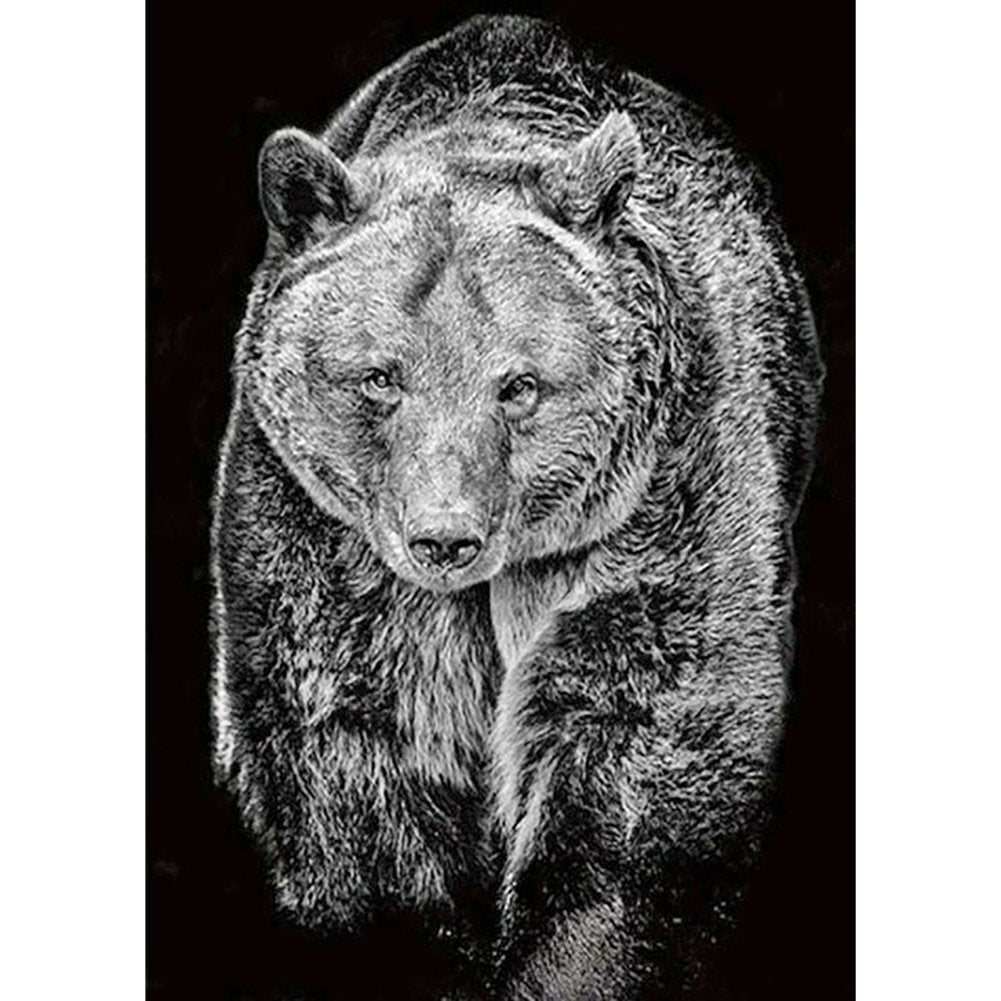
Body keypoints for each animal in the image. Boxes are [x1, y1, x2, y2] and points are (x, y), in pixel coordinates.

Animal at [211, 14, 822, 999]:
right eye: (380, 377)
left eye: (519, 385)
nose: (443, 538)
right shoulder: (320, 528)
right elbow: (354, 747)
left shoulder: (664, 492)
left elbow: (640, 740)